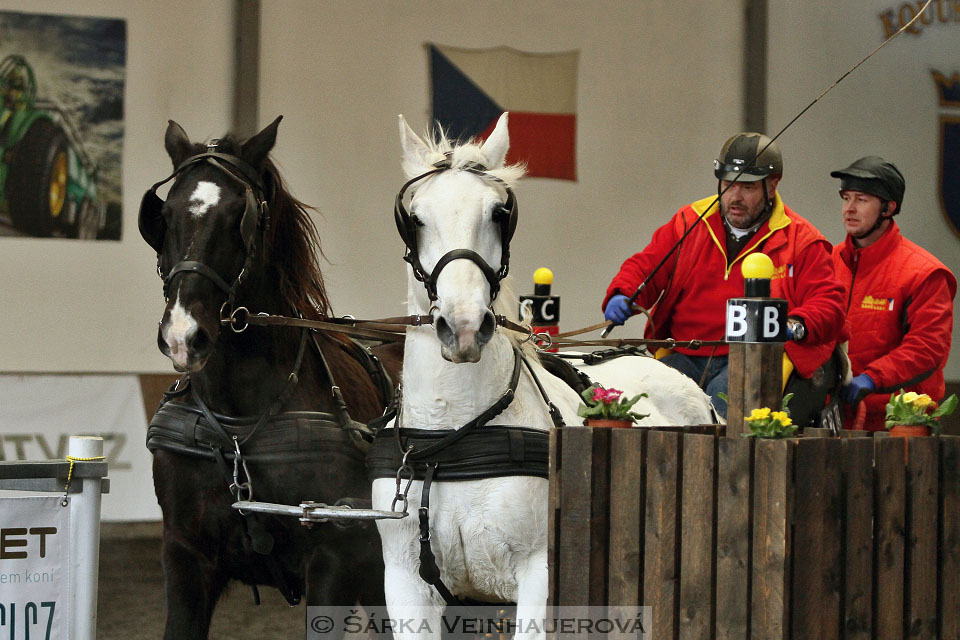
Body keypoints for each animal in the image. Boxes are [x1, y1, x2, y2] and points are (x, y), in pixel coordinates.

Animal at [140, 117, 402, 636]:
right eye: (167, 214)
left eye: (239, 215)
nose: (183, 335)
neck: (239, 428)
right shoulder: (185, 554)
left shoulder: (335, 559)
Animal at [372, 112, 716, 636]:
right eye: (416, 218)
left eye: (498, 213)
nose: (464, 326)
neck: (454, 434)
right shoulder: (406, 583)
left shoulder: (541, 575)